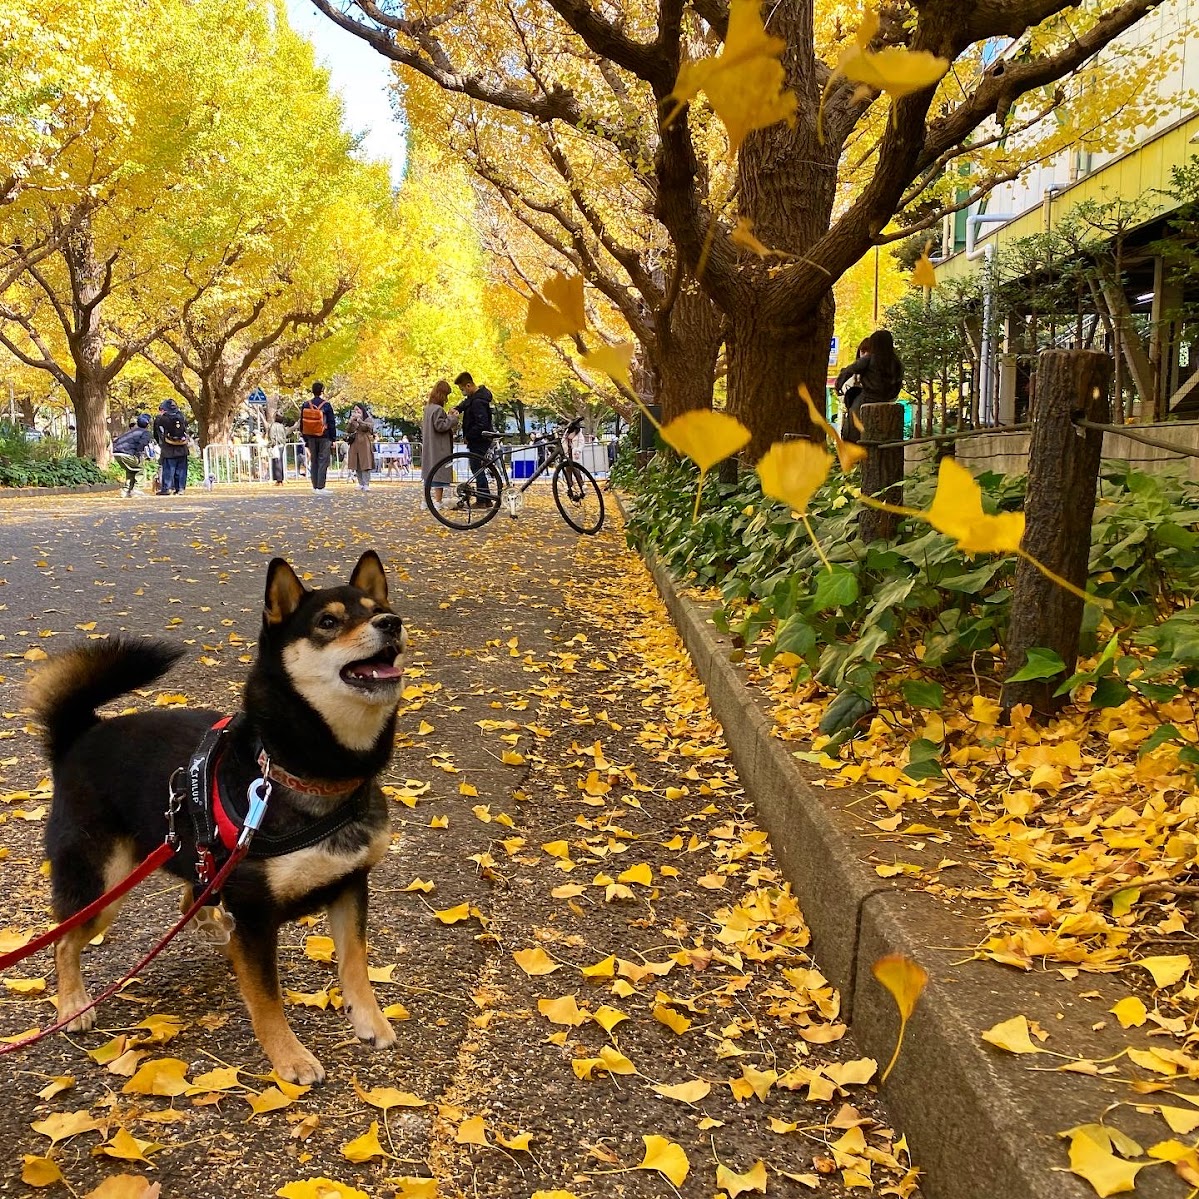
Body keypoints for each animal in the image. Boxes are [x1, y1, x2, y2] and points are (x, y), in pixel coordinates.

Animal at [26, 551, 407, 1088]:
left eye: (380, 609)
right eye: (328, 622)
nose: (391, 623)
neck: (304, 772)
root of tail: (80, 735)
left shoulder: (350, 884)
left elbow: (355, 964)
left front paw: (370, 1020)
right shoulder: (254, 911)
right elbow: (267, 997)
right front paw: (289, 1057)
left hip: (196, 862)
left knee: (193, 893)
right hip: (104, 885)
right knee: (64, 940)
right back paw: (73, 1004)